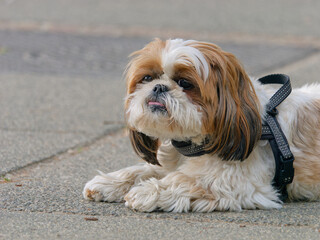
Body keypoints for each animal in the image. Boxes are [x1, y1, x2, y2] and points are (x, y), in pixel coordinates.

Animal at [83, 39, 320, 212]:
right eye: (148, 77)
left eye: (185, 83)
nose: (159, 87)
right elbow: (144, 170)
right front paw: (109, 182)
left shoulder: (238, 183)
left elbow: (186, 179)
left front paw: (148, 191)